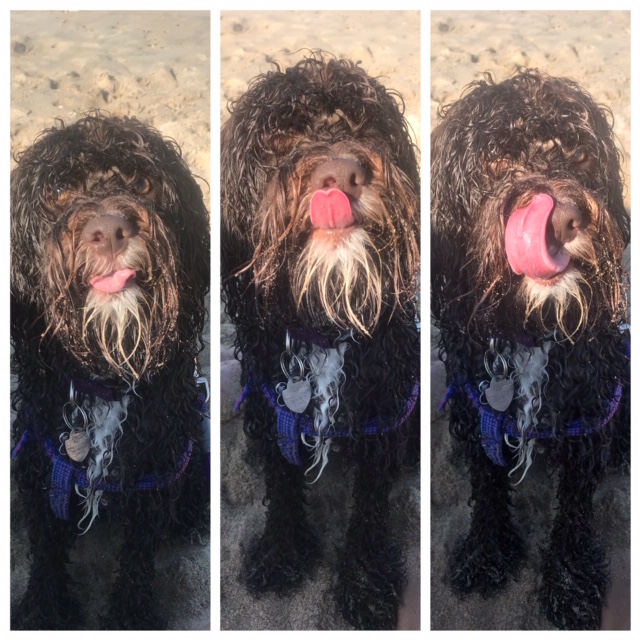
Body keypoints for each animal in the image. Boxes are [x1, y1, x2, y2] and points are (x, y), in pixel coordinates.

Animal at [10, 115, 210, 632]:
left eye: (142, 183)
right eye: (59, 191)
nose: (109, 229)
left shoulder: (153, 474)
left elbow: (138, 555)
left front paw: (130, 615)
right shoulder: (43, 460)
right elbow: (46, 547)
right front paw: (45, 610)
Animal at [220, 53, 420, 632]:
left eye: (365, 124)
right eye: (279, 136)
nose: (339, 174)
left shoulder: (380, 413)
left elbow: (370, 505)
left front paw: (365, 583)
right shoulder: (272, 404)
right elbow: (283, 484)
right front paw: (280, 552)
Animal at [430, 70, 632, 632]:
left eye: (580, 154)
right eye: (496, 159)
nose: (560, 219)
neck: (531, 327)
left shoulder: (587, 415)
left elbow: (575, 511)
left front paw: (569, 583)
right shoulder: (478, 404)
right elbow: (487, 485)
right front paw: (485, 553)